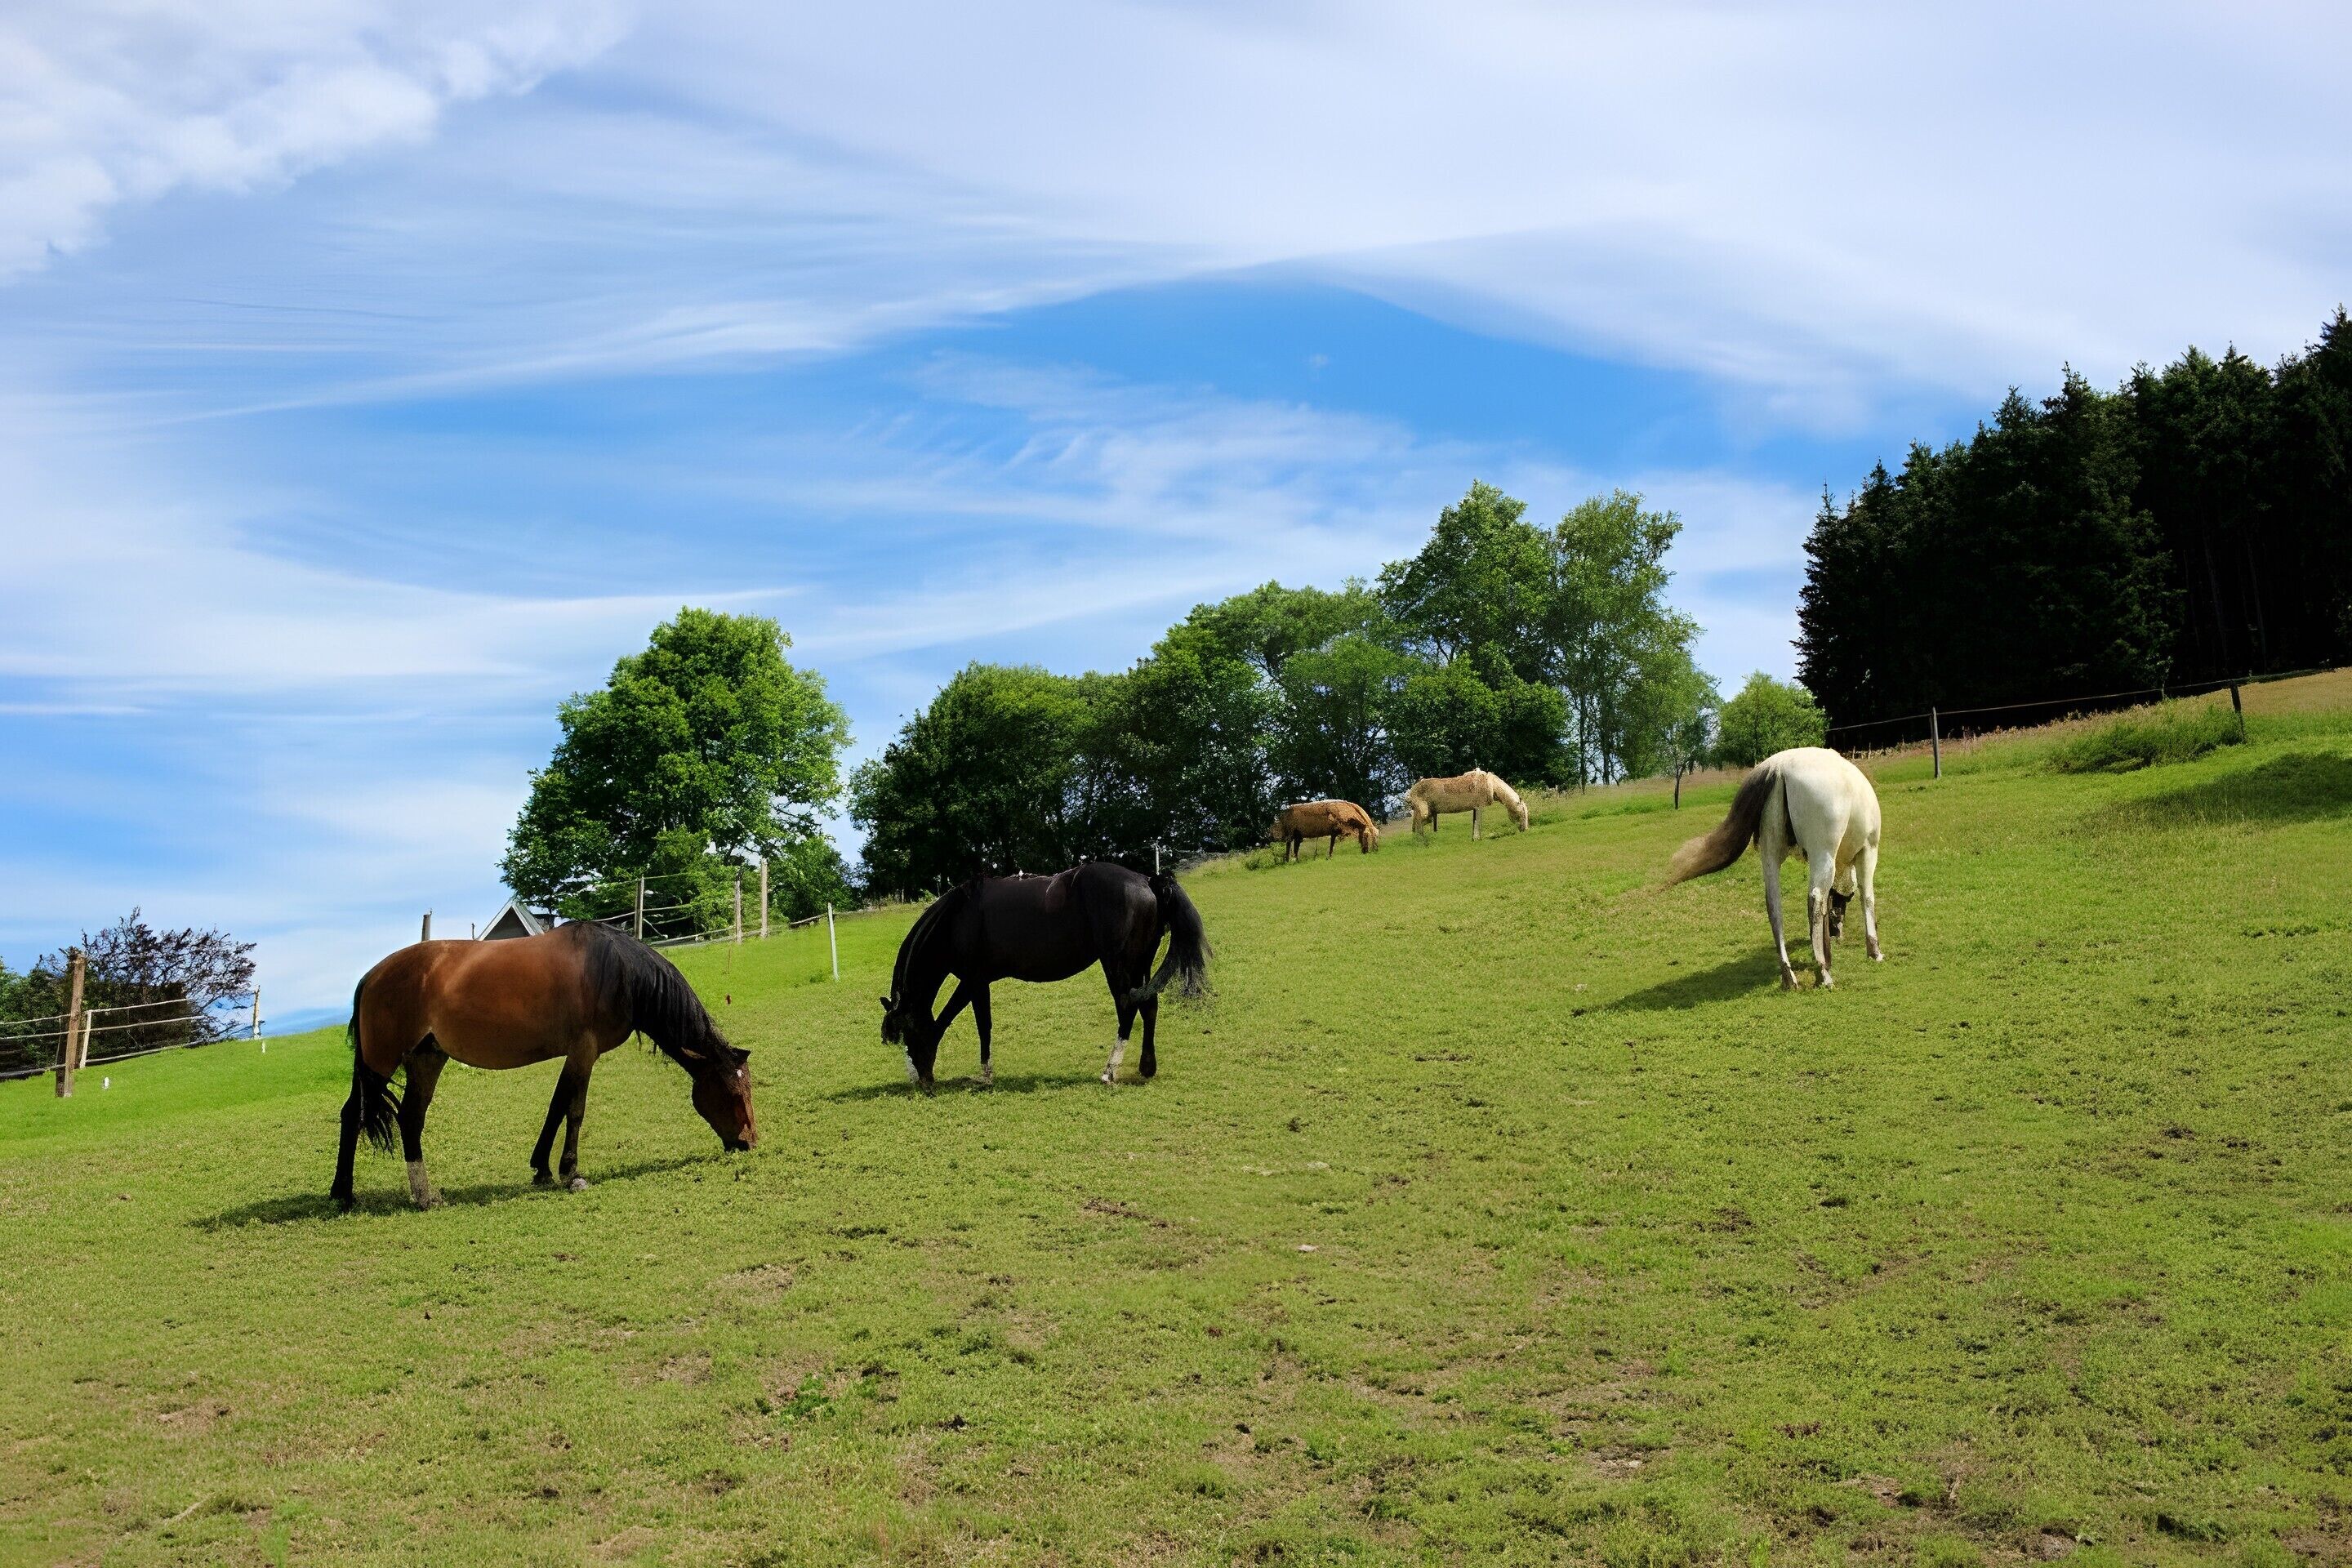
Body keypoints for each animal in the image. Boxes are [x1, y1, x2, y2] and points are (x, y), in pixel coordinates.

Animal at [333, 921, 754, 1210]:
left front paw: (542, 1169)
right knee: (354, 1113)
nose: (748, 1142)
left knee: (410, 1118)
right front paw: (571, 1173)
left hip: (426, 1059)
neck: (615, 969)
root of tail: (371, 977)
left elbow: (556, 1106)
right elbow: (575, 1110)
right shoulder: (585, 1050)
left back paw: (423, 1195)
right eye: (731, 1092)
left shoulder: (575, 1053)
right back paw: (345, 1194)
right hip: (381, 1062)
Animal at [880, 863, 1210, 1091]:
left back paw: (1109, 1071)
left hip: (1118, 964)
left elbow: (979, 1025)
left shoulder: (974, 981)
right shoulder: (977, 982)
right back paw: (1146, 1067)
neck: (958, 917)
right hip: (1140, 964)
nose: (919, 1081)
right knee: (1149, 1005)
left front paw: (986, 1076)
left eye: (909, 1033)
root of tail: (1147, 881)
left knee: (1127, 1007)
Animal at [1271, 799, 1380, 860]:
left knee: (1295, 848)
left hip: (1298, 834)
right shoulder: (1338, 830)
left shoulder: (1334, 832)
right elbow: (1332, 845)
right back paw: (1287, 860)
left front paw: (1329, 856)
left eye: (1377, 836)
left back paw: (1295, 860)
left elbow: (1332, 845)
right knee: (1289, 845)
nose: (1376, 850)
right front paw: (1329, 857)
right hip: (1291, 833)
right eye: (1368, 836)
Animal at [1405, 769, 1530, 840]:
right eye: (1523, 812)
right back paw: (1422, 840)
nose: (1525, 830)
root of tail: (1411, 792)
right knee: (1418, 822)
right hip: (1423, 809)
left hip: (1426, 812)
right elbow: (1478, 824)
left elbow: (1475, 823)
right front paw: (1478, 838)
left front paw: (1474, 838)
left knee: (1416, 824)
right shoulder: (1479, 806)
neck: (1493, 787)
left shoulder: (1475, 807)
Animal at [1665, 746, 1882, 989]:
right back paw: (1823, 973)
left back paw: (1789, 976)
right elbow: (1867, 897)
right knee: (1815, 899)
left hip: (1771, 852)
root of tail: (1778, 766)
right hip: (1822, 852)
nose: (1837, 934)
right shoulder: (1868, 850)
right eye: (1842, 904)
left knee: (1774, 906)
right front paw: (1874, 950)